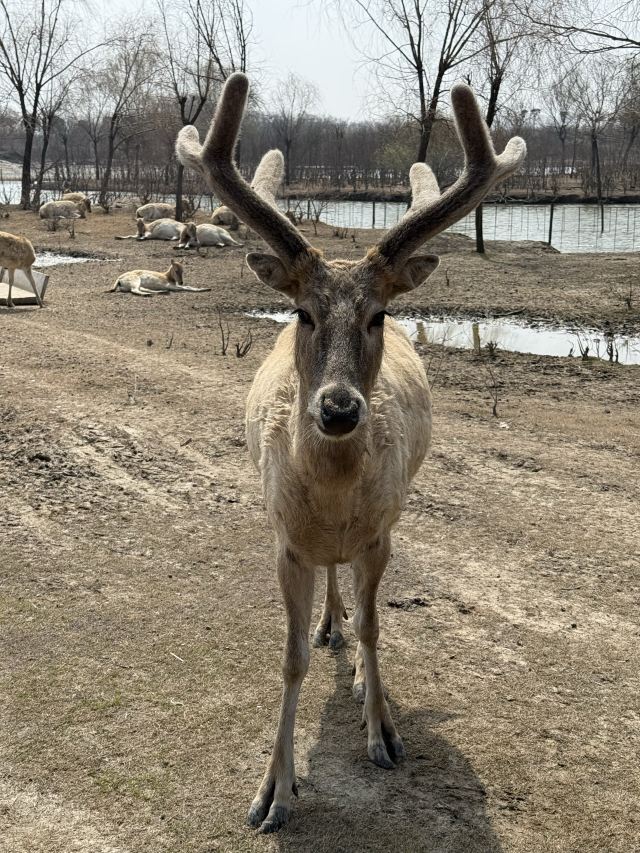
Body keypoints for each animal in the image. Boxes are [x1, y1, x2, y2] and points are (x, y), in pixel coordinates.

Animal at [177, 73, 525, 835]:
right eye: (302, 312)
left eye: (379, 315)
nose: (338, 409)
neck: (334, 502)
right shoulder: (284, 539)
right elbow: (290, 658)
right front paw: (272, 792)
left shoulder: (379, 532)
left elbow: (375, 625)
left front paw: (383, 731)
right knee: (331, 598)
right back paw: (328, 625)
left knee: (362, 614)